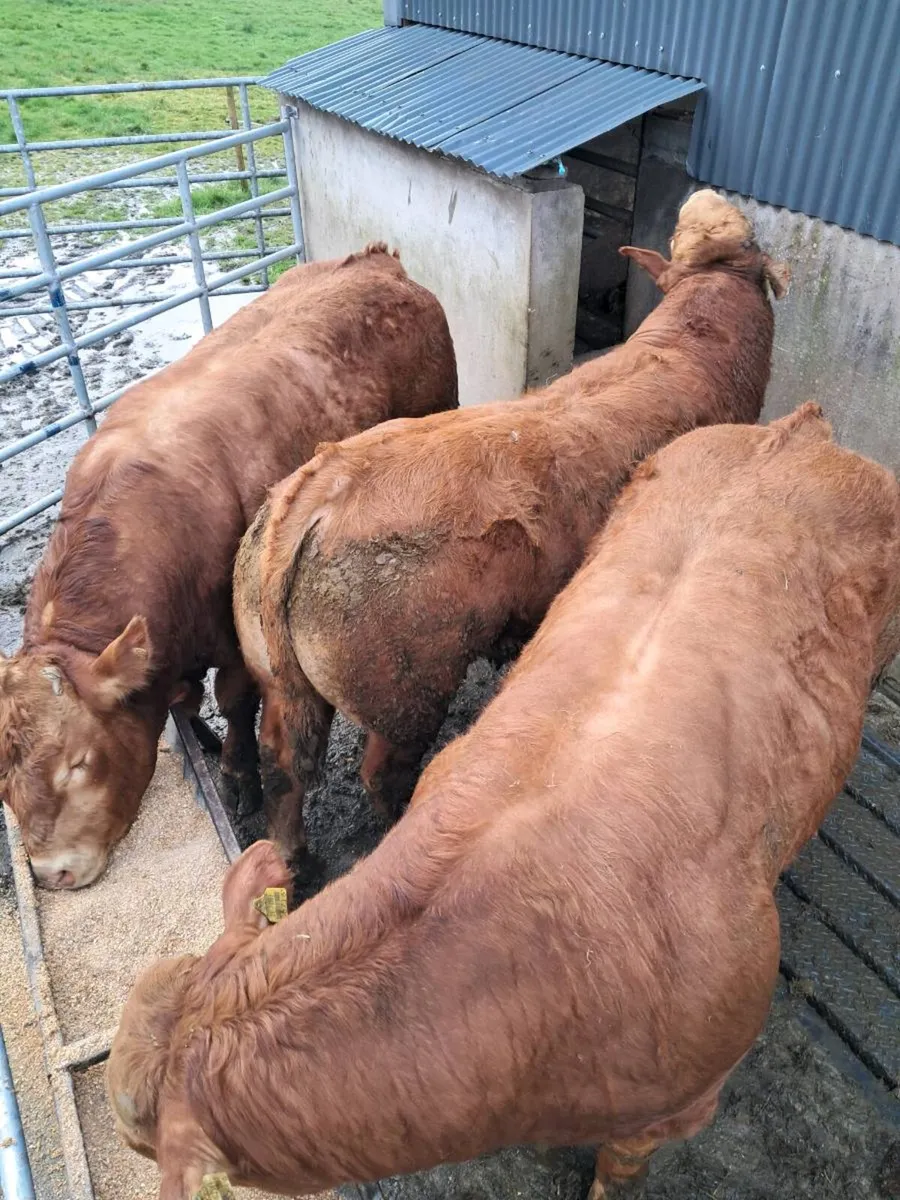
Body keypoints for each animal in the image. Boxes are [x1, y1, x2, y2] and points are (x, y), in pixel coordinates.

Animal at [0, 245, 457, 889]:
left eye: (79, 762)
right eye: (3, 780)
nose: (49, 872)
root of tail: (376, 262)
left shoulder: (235, 639)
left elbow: (235, 701)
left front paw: (238, 779)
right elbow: (184, 706)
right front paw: (204, 743)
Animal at [234, 189, 791, 862]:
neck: (694, 337)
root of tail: (311, 502)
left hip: (273, 671)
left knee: (282, 763)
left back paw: (293, 862)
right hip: (407, 688)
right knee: (379, 774)